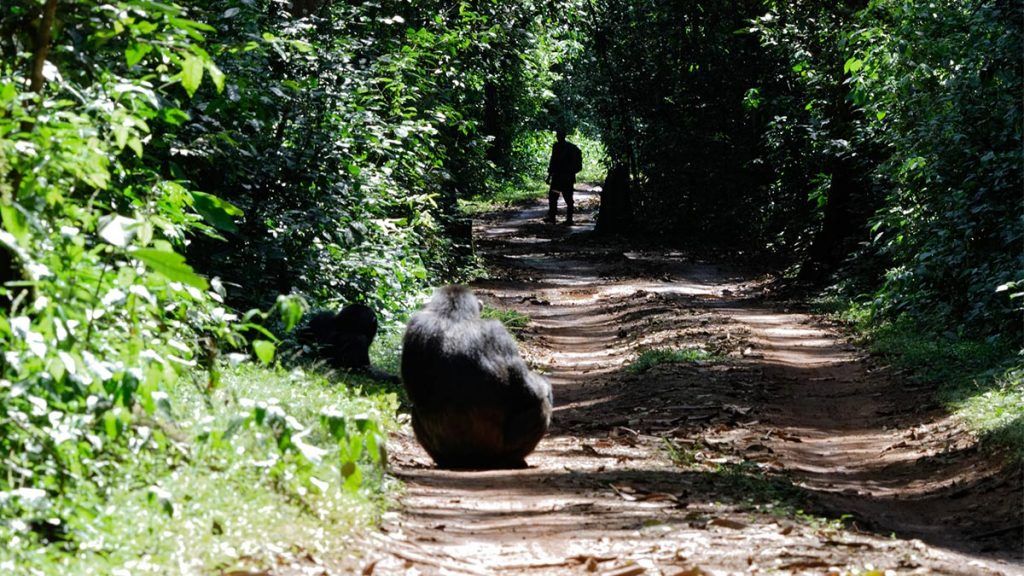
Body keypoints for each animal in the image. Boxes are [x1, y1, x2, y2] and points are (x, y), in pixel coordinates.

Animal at [400, 285, 552, 469]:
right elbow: (531, 390)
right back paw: (515, 460)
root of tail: (470, 461)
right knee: (540, 406)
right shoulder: (498, 330)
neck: (454, 316)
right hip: (496, 451)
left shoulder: (415, 327)